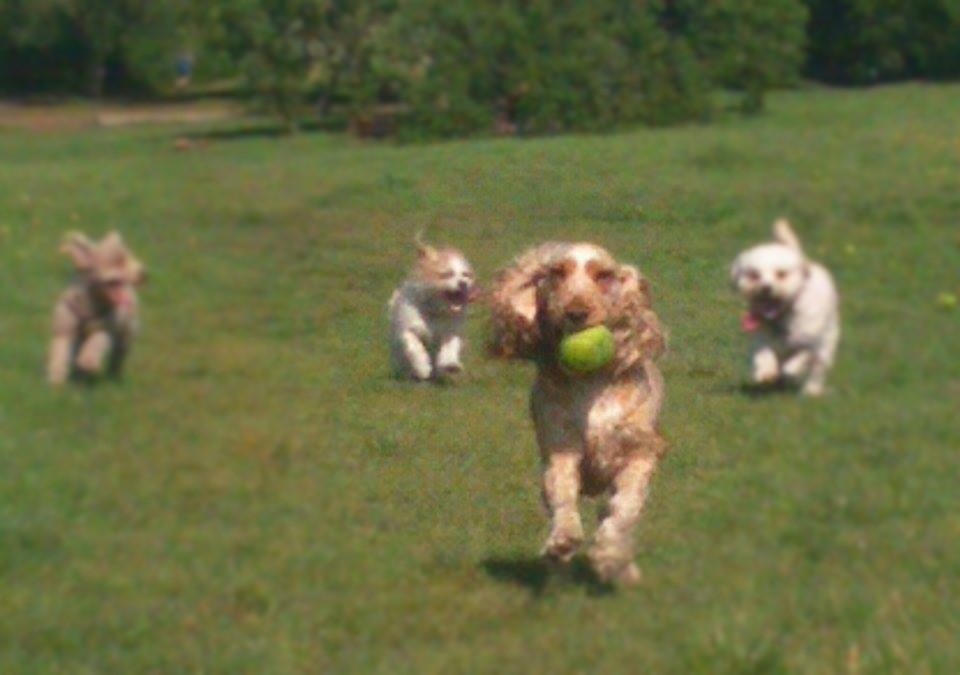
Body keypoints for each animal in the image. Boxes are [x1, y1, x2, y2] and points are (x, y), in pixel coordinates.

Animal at [47, 232, 146, 386]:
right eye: (118, 260)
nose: (144, 274)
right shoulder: (64, 329)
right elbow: (59, 350)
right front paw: (56, 378)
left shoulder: (107, 328)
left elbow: (97, 341)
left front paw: (88, 361)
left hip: (127, 334)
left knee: (118, 357)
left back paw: (114, 375)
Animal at [388, 234, 478, 380]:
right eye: (447, 274)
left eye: (466, 275)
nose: (463, 283)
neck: (436, 311)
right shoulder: (408, 329)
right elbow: (414, 346)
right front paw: (422, 368)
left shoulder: (451, 331)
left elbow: (450, 347)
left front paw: (450, 364)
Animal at [492, 243, 664, 588]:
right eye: (557, 273)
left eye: (604, 275)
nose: (576, 313)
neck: (591, 381)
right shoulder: (561, 450)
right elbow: (562, 496)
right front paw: (562, 541)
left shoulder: (640, 452)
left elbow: (624, 509)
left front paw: (609, 556)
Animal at [732, 219, 836, 396]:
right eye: (754, 275)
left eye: (781, 274)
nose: (765, 288)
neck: (782, 316)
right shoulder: (762, 337)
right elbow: (763, 352)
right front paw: (766, 371)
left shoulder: (811, 338)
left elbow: (803, 355)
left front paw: (792, 370)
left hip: (828, 342)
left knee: (818, 368)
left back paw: (811, 390)